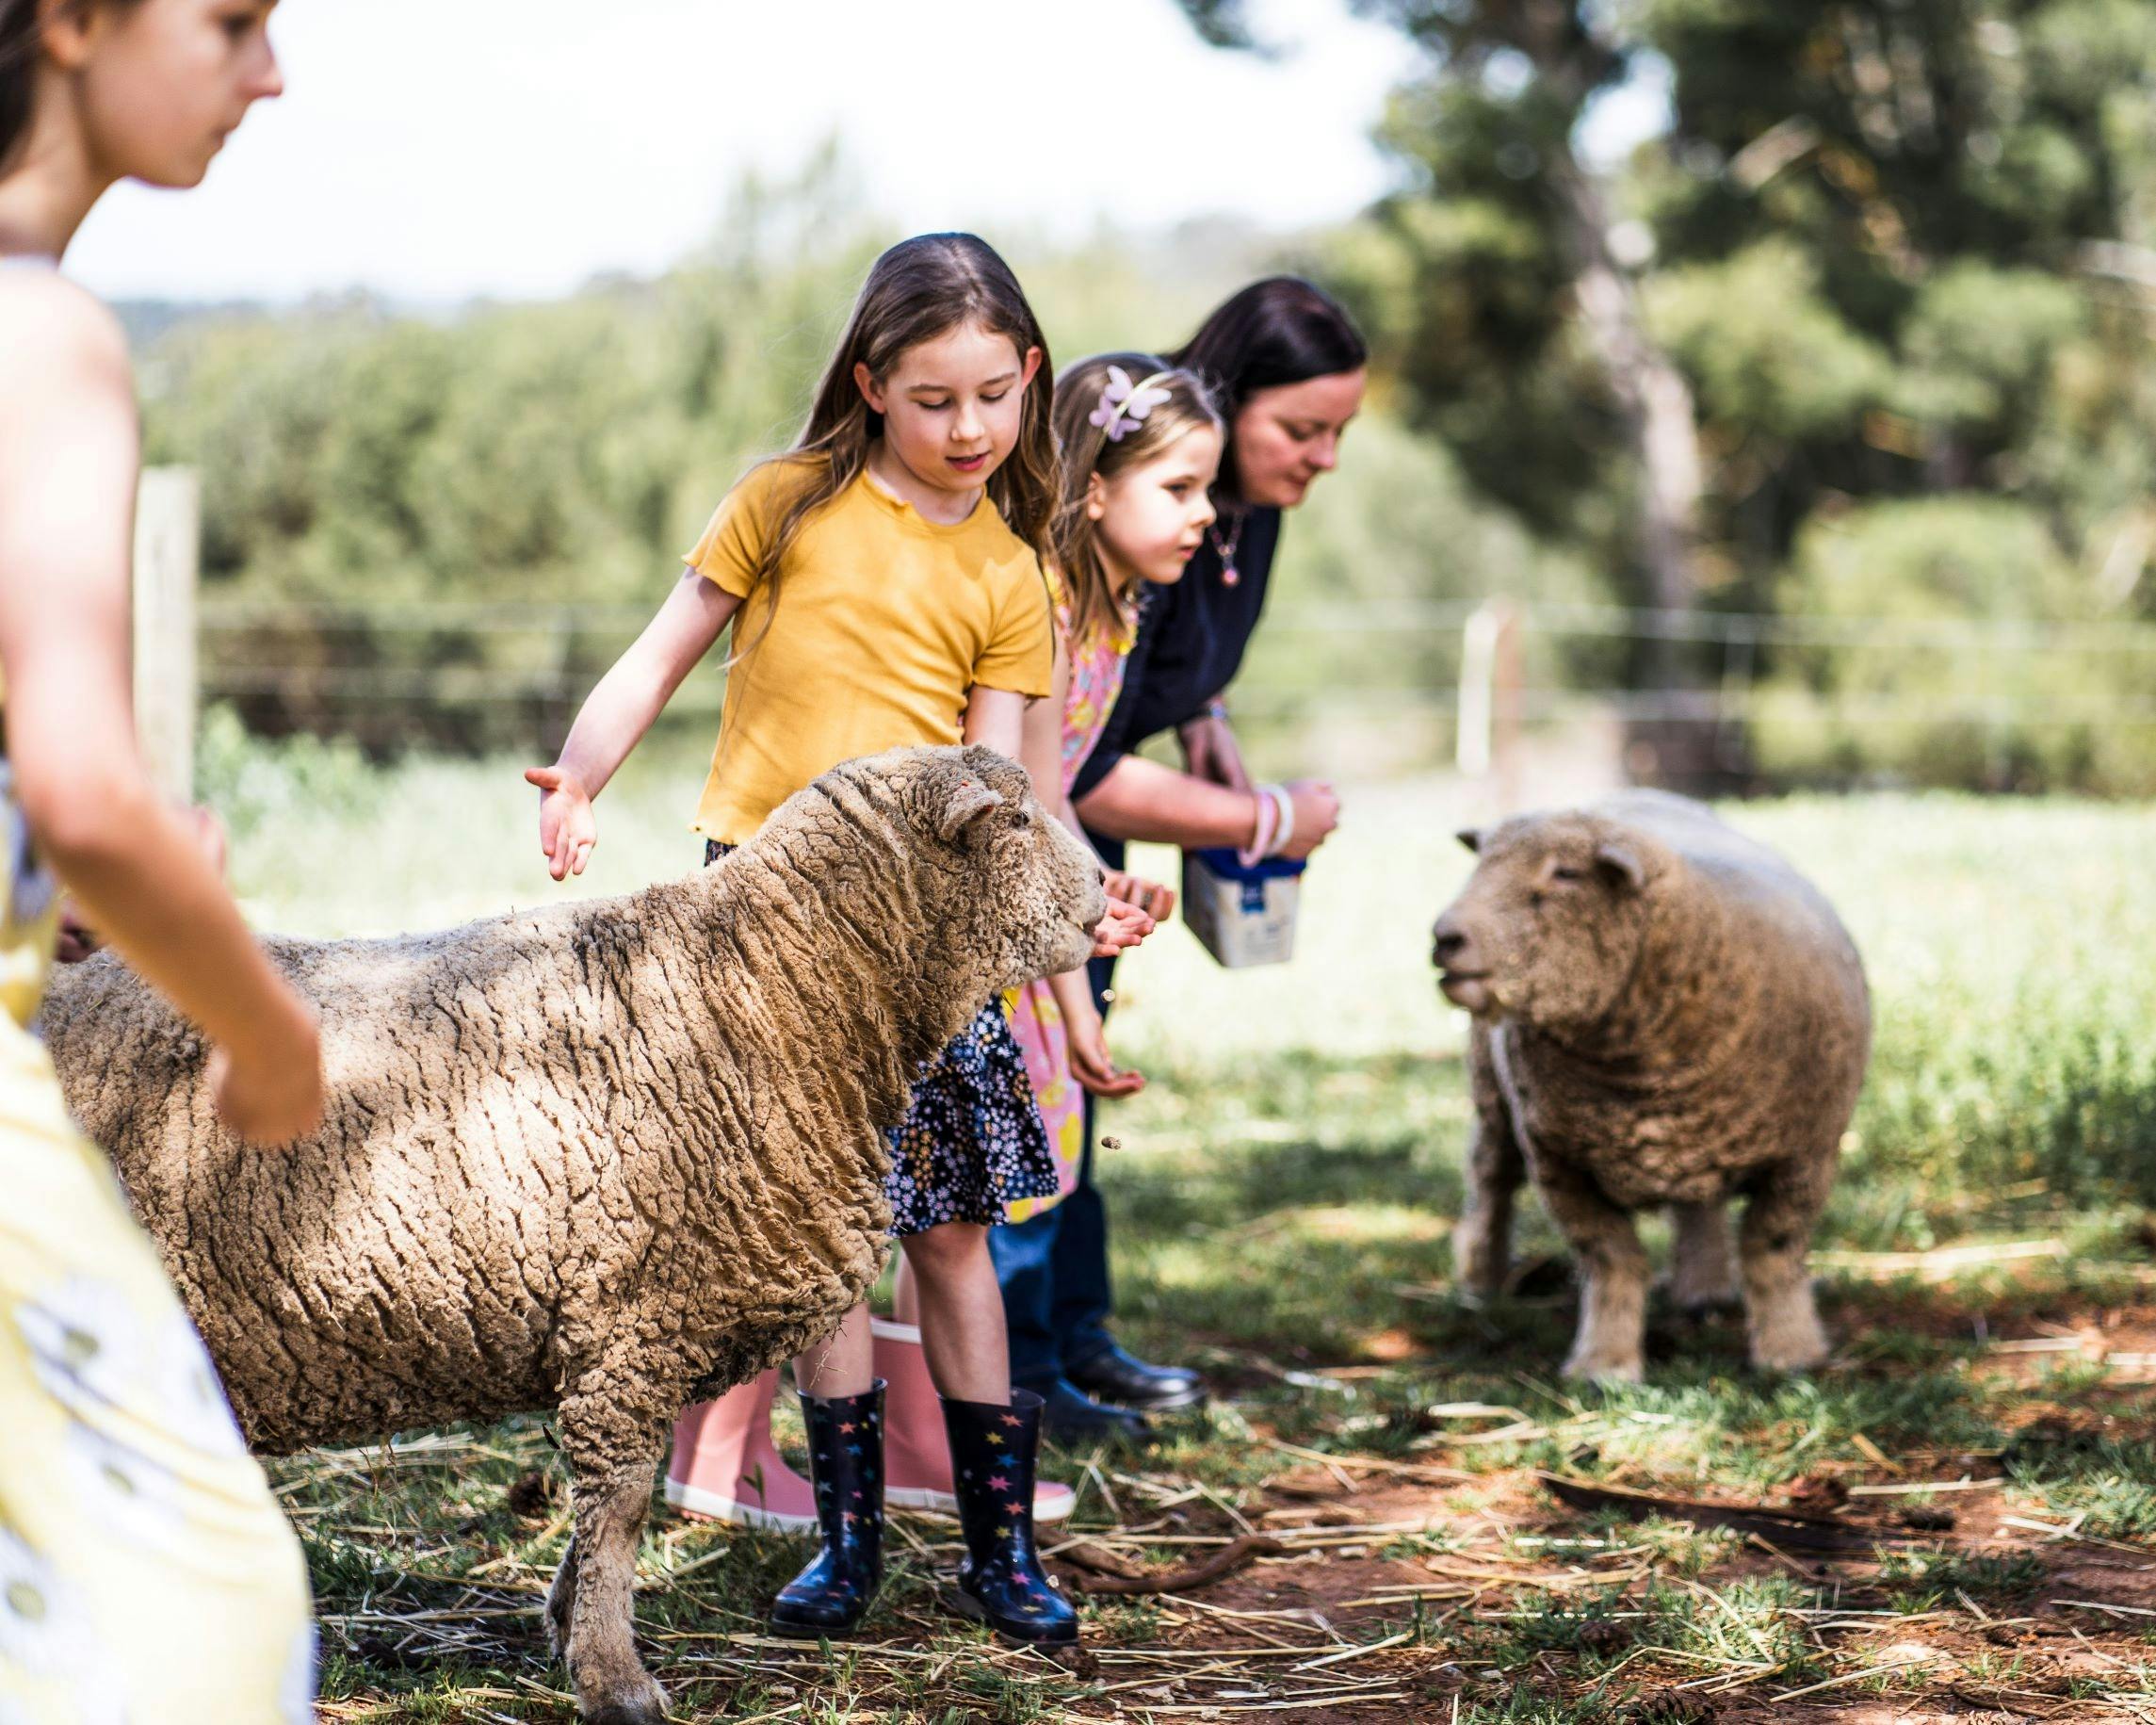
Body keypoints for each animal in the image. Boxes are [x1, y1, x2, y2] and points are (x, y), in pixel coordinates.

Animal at [37, 743, 1105, 1725]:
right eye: (1013, 822)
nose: (1106, 891)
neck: (767, 990)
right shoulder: (632, 1315)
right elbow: (624, 1502)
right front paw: (614, 1677)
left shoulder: (641, 1330)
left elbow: (615, 1508)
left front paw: (568, 1625)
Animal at [1431, 790, 1869, 1384]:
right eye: (1480, 864)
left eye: (1566, 873)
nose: (1444, 937)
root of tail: (1628, 796)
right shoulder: (1561, 1167)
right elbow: (1612, 1261)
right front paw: (1603, 1363)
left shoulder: (1804, 1158)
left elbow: (1771, 1252)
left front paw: (1790, 1351)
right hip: (1493, 1096)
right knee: (1490, 1182)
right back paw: (1482, 1282)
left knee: (1698, 1207)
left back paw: (1702, 1290)